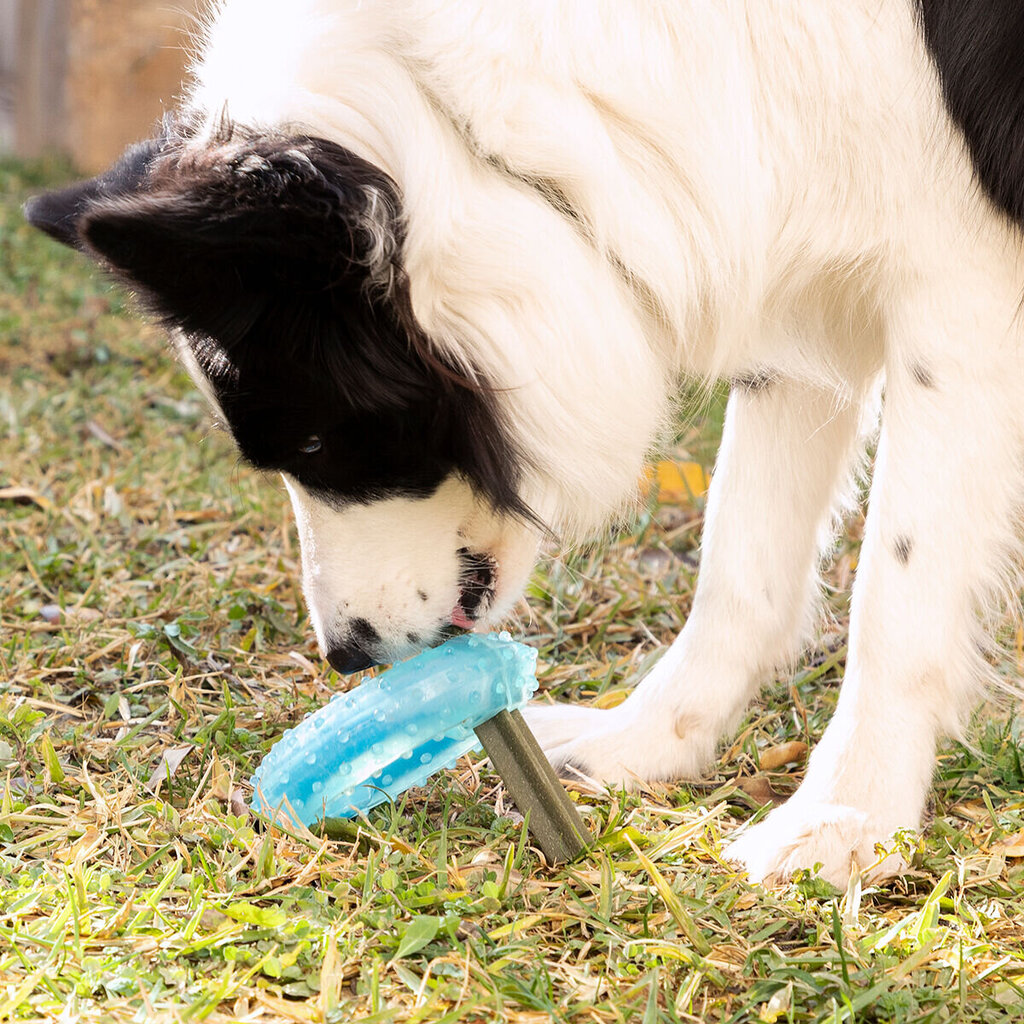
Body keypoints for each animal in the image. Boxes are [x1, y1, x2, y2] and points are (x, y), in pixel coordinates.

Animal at [22, 0, 1024, 884]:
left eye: (311, 445)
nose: (346, 656)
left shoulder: (961, 282)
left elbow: (897, 592)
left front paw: (849, 814)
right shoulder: (786, 228)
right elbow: (742, 556)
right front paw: (651, 740)